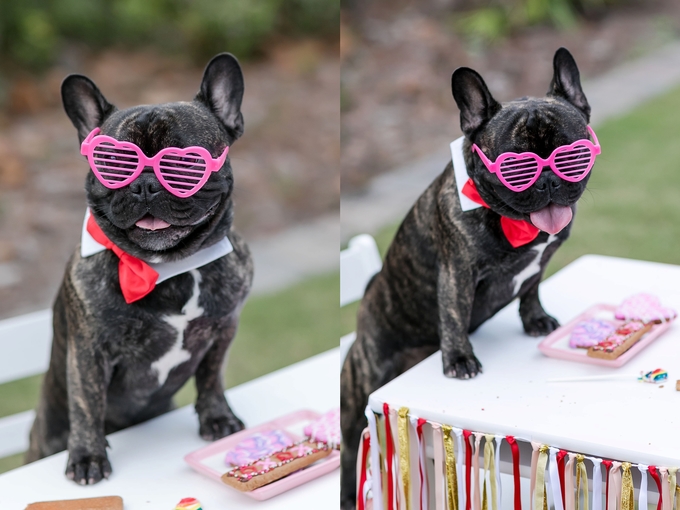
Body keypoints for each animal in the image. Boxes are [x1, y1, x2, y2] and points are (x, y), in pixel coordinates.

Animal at [25, 52, 255, 486]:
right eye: (113, 165)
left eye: (185, 164)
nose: (145, 184)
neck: (171, 267)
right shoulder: (88, 352)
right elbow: (86, 404)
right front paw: (87, 456)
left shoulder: (224, 329)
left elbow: (211, 378)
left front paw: (217, 418)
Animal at [340, 46, 596, 506]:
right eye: (516, 166)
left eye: (572, 155)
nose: (549, 179)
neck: (516, 225)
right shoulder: (456, 271)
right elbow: (454, 315)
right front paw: (459, 360)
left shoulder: (541, 262)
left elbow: (531, 289)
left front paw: (535, 320)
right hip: (361, 391)